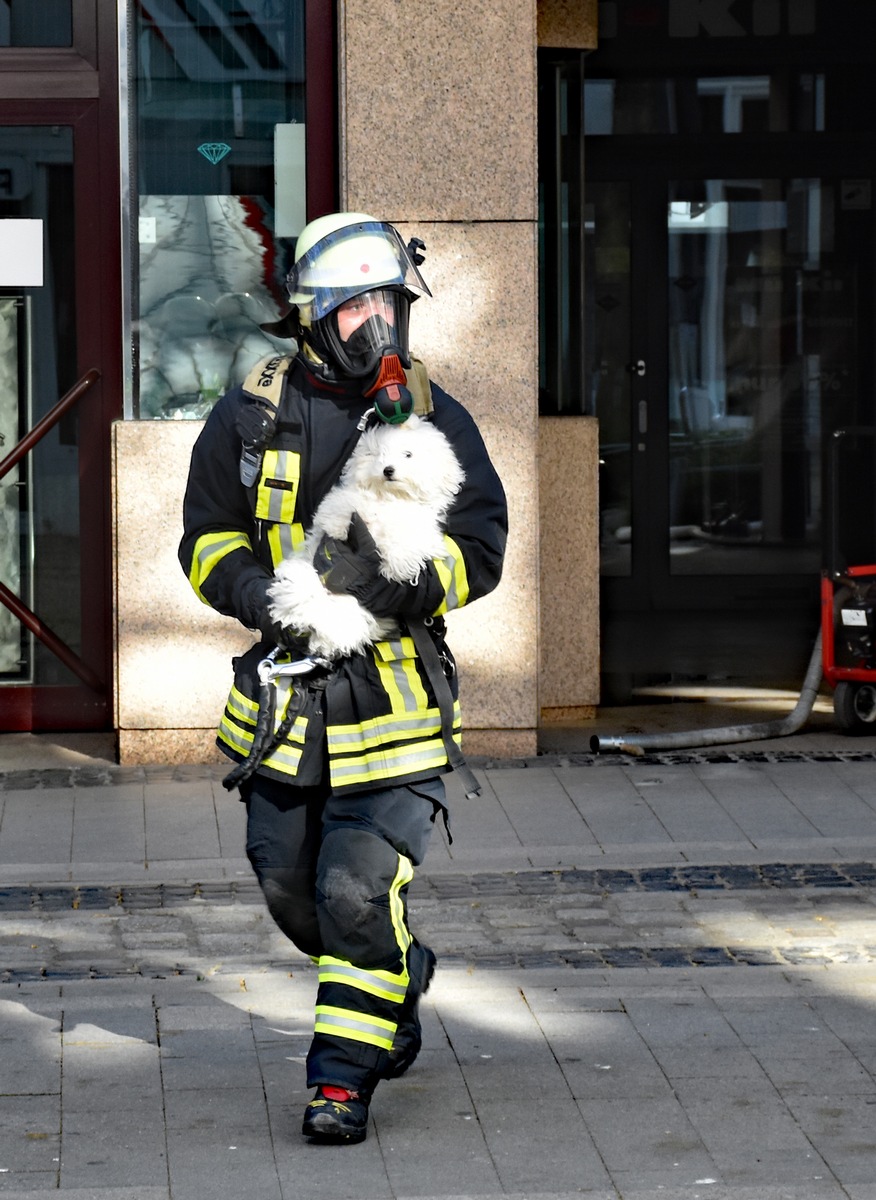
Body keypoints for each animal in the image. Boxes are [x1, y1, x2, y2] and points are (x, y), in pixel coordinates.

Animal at [267, 412, 463, 657]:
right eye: (378, 454)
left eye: (408, 454)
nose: (388, 470)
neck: (390, 496)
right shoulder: (348, 499)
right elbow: (346, 505)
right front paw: (338, 527)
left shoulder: (420, 526)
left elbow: (407, 538)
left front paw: (397, 566)